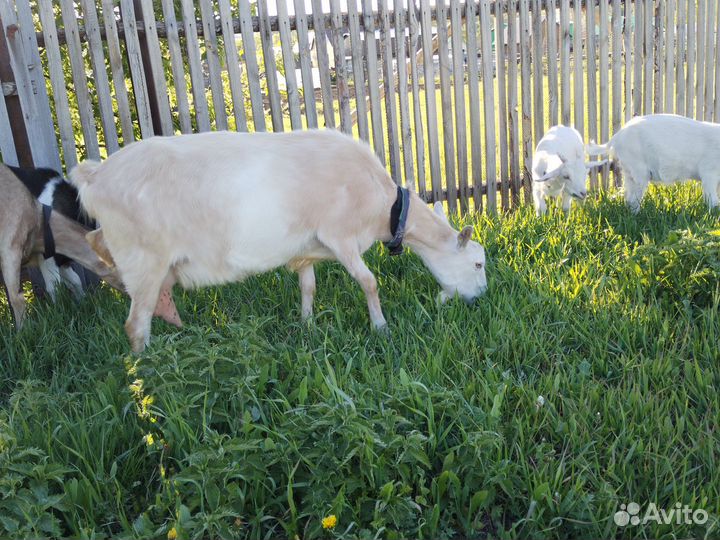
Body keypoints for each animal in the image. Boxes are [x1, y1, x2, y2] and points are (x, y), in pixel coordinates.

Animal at [70, 129, 488, 352]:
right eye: (478, 263)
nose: (481, 298)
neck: (385, 204)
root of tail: (96, 176)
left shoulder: (308, 248)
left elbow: (308, 286)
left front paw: (307, 325)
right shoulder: (340, 236)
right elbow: (369, 282)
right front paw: (380, 327)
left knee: (98, 243)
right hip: (144, 258)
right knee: (134, 324)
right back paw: (149, 369)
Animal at [586, 114, 720, 212]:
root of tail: (616, 137)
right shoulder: (709, 172)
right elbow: (712, 198)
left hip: (629, 173)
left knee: (629, 197)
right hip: (639, 171)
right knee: (634, 199)